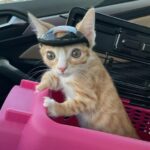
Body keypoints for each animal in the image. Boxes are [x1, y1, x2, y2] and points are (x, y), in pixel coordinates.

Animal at [27, 8, 138, 138]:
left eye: (76, 53)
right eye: (50, 55)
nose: (62, 68)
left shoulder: (90, 98)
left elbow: (74, 105)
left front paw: (53, 107)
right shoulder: (63, 79)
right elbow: (56, 79)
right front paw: (41, 84)